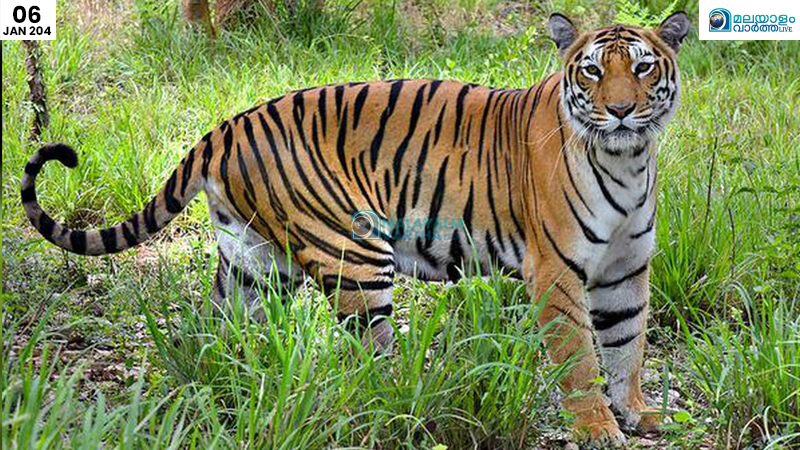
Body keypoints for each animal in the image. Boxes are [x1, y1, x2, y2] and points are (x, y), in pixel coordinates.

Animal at [20, 12, 690, 445]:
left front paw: (637, 413)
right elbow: (580, 356)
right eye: (592, 73)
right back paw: (409, 410)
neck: (629, 161)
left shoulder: (627, 268)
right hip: (355, 254)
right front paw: (597, 427)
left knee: (215, 332)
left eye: (642, 68)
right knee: (373, 363)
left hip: (254, 264)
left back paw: (223, 387)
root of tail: (227, 126)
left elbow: (627, 344)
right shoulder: (556, 271)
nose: (622, 110)